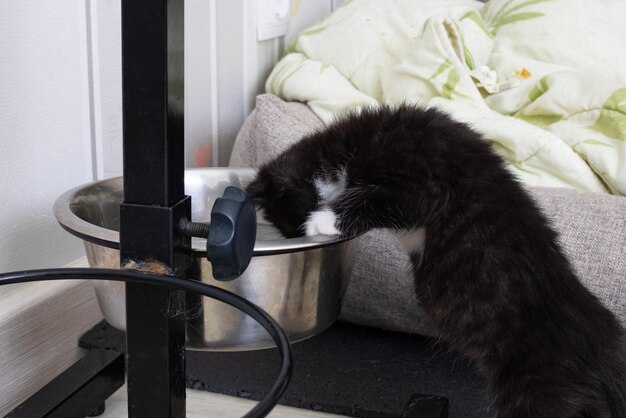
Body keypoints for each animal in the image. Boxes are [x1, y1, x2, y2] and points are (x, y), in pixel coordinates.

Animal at [246, 103, 624, 416]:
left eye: (295, 229)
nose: (301, 237)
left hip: (537, 392)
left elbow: (373, 201)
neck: (351, 148)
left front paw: (324, 220)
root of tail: (605, 346)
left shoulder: (424, 185)